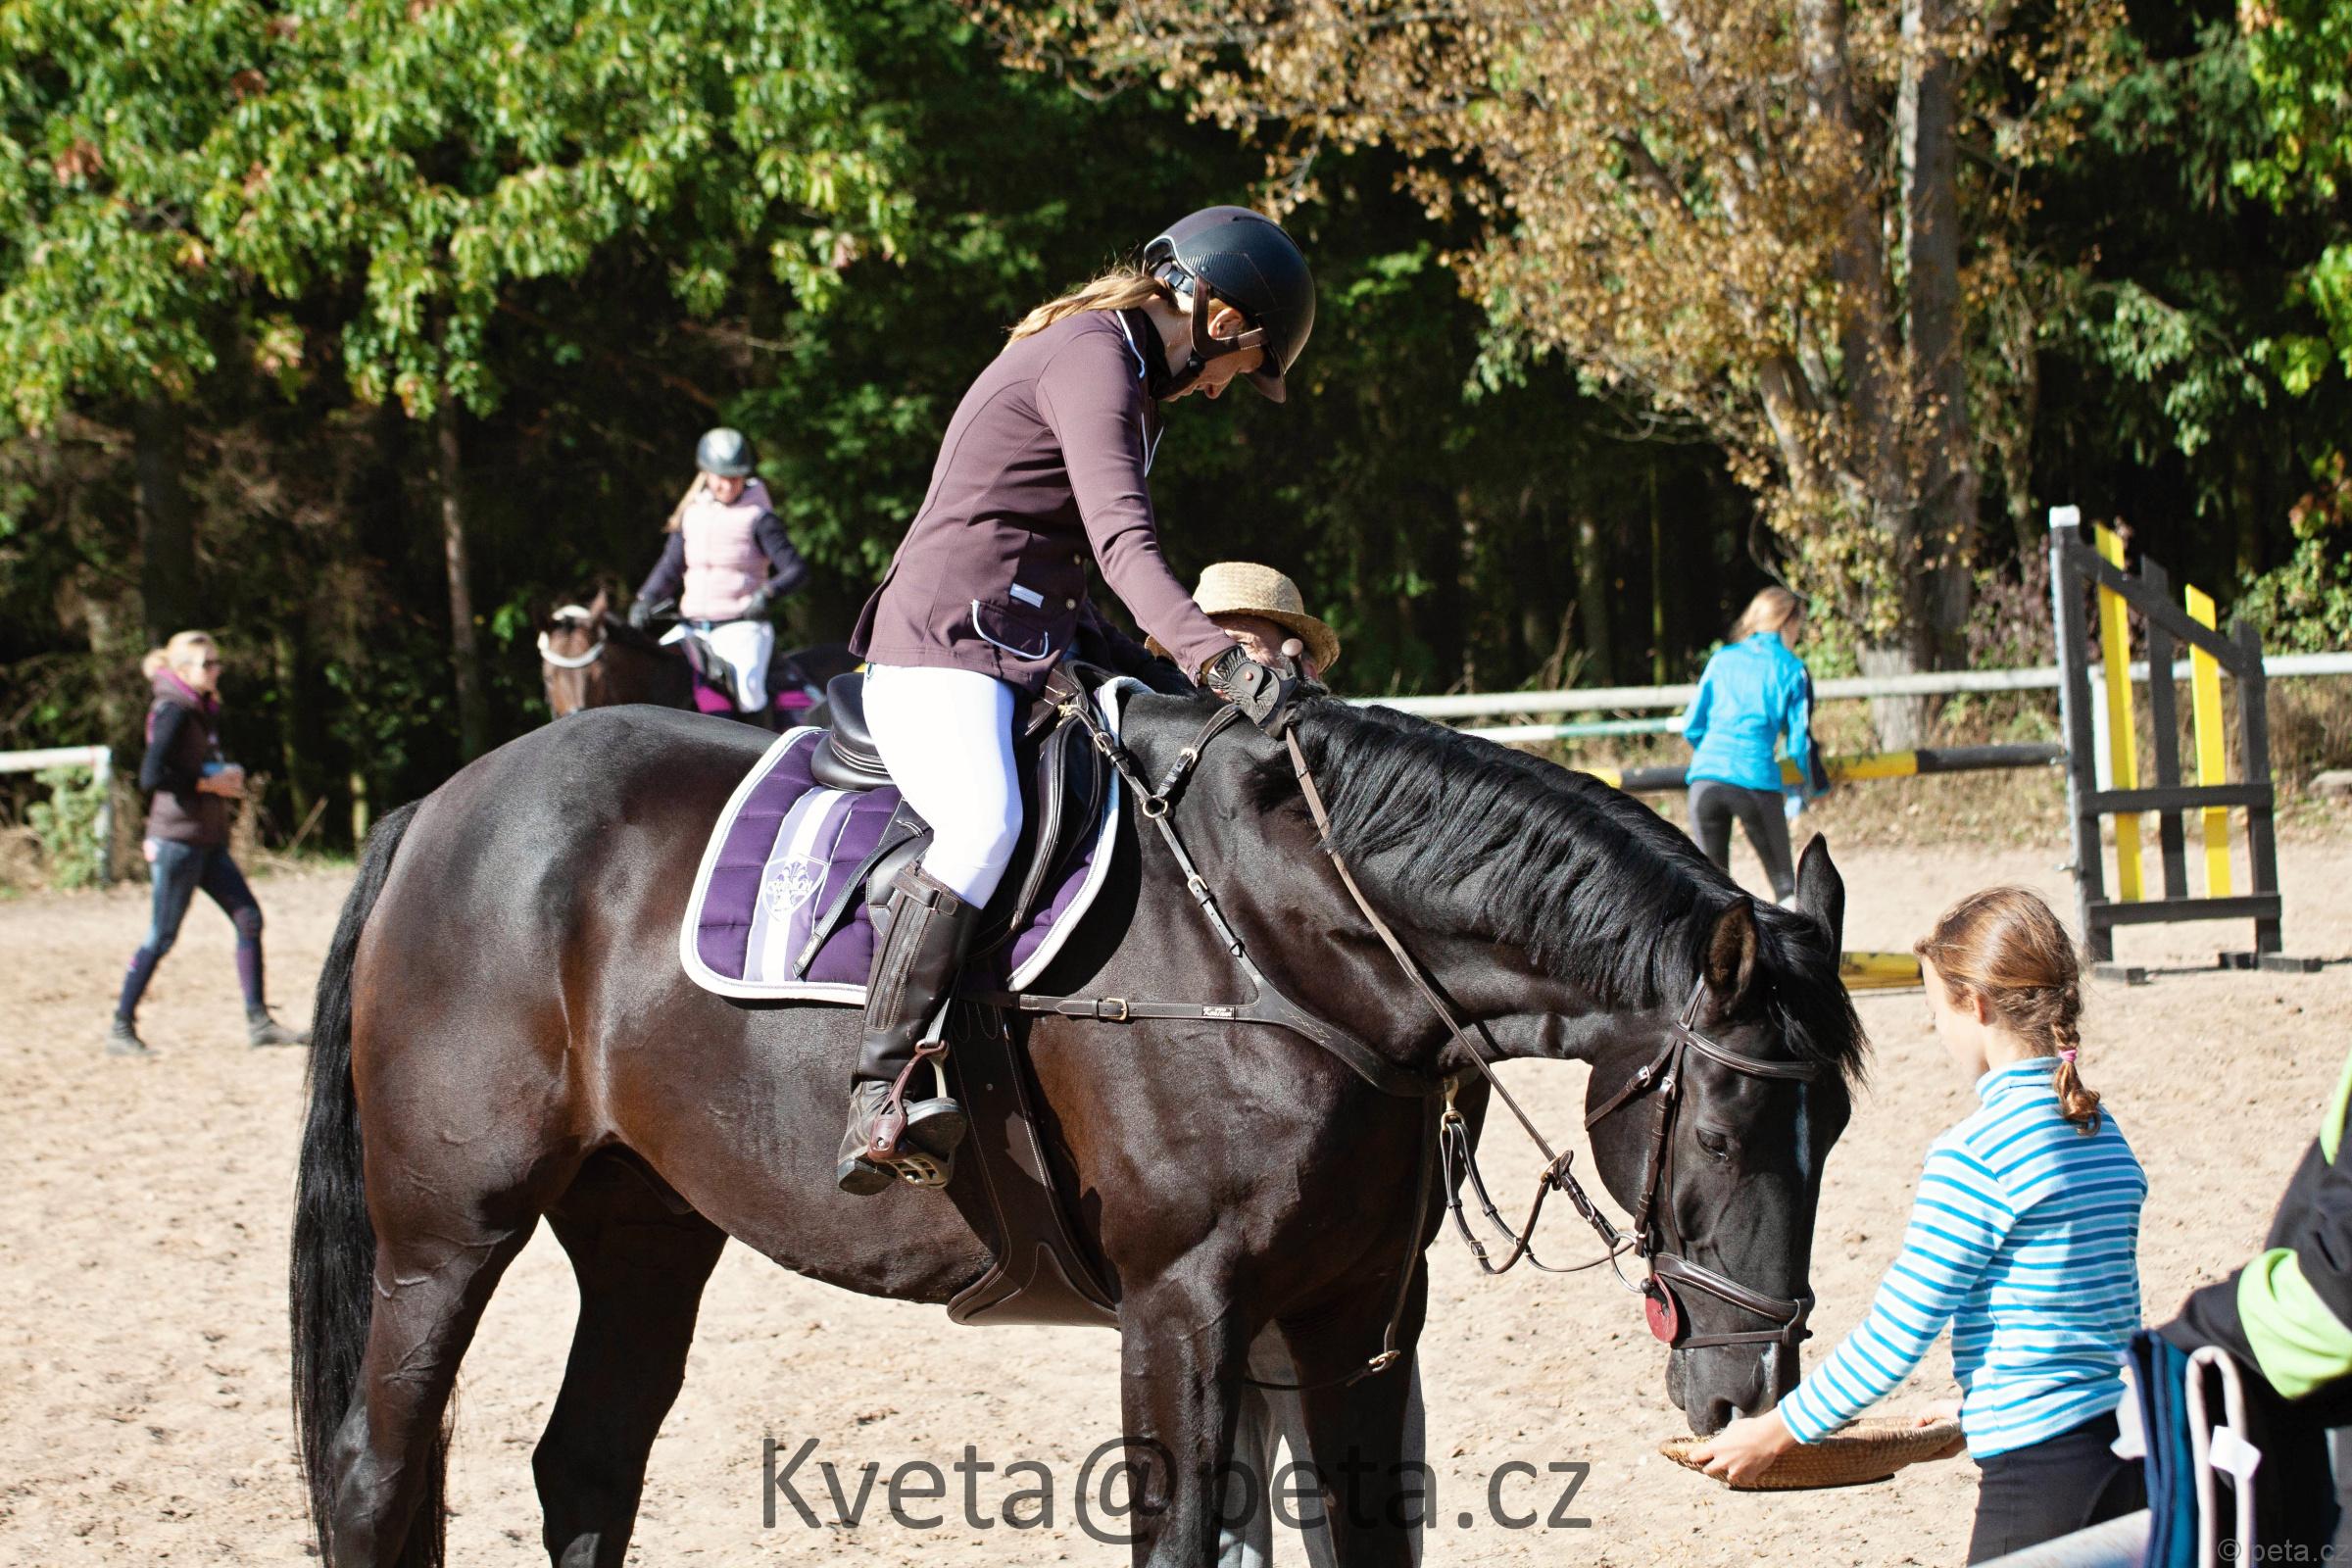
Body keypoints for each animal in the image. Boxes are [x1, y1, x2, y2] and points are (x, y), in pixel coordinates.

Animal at [288, 690, 1865, 1568]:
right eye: (1724, 1136)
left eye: (1840, 1127)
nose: (1750, 1392)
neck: (1285, 947)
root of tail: (446, 805)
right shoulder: (1183, 1308)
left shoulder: (1356, 1313)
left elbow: (1361, 1532)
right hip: (448, 1238)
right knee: (375, 1472)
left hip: (644, 1237)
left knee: (585, 1466)